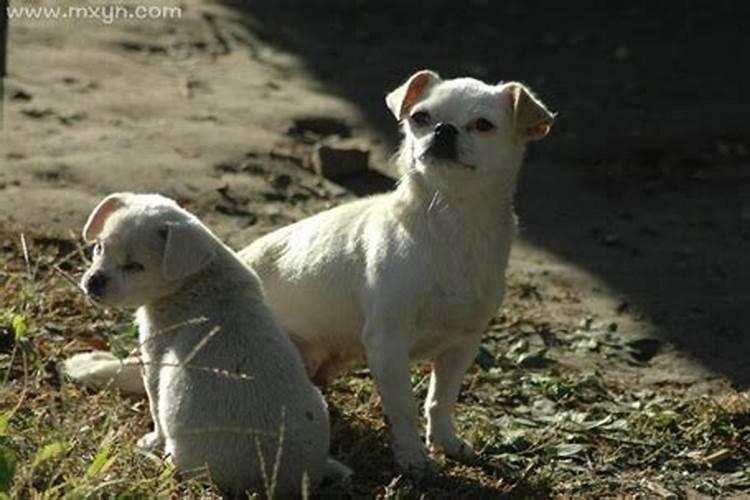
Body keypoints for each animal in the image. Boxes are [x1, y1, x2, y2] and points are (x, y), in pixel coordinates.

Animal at [73, 192, 350, 496]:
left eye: (135, 267)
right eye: (99, 247)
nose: (93, 281)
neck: (198, 277)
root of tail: (286, 480)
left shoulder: (155, 360)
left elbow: (155, 407)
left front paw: (150, 441)